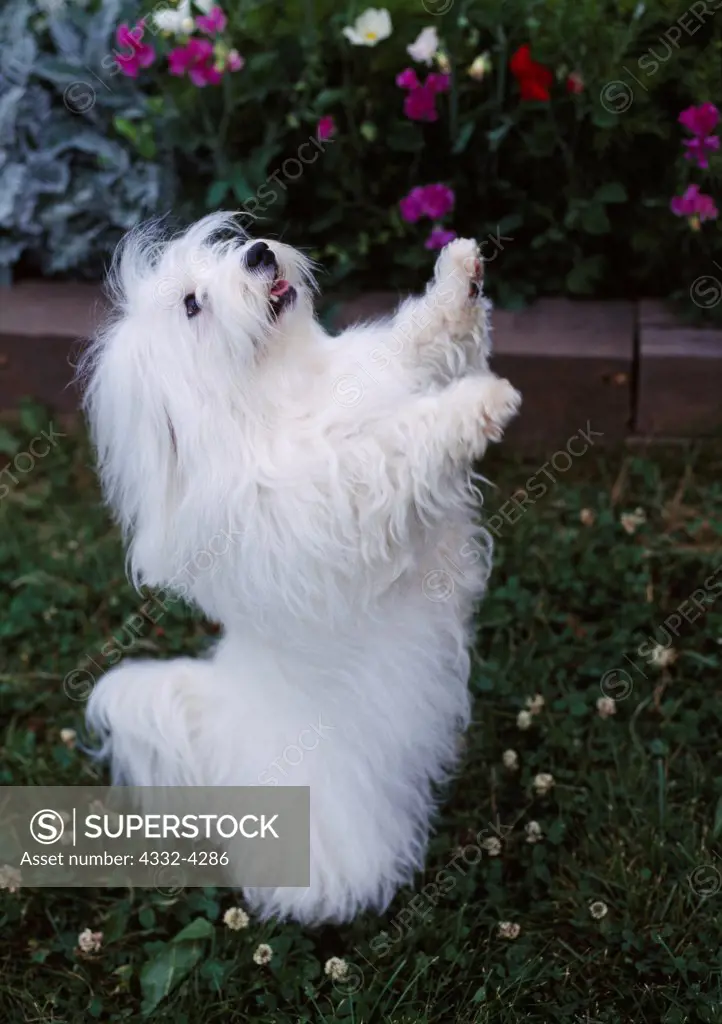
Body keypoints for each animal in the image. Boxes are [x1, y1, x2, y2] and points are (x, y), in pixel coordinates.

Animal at [80, 211, 518, 925]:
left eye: (228, 250)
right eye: (193, 304)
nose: (260, 252)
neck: (275, 396)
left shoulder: (379, 373)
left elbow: (420, 341)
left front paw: (458, 272)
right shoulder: (342, 493)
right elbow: (396, 443)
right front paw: (480, 404)